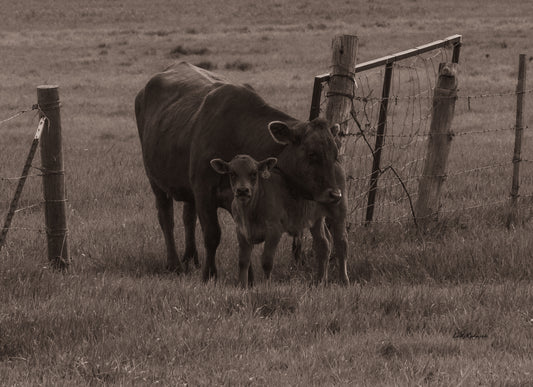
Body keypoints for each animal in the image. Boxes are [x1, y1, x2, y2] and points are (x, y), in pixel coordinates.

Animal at [210, 153, 348, 286]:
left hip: (339, 211)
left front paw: (267, 286)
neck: (250, 213)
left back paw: (343, 281)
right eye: (232, 173)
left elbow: (267, 261)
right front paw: (242, 286)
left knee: (341, 243)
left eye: (254, 173)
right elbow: (243, 262)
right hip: (316, 218)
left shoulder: (274, 230)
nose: (243, 190)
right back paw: (320, 281)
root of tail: (335, 163)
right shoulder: (242, 231)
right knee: (324, 244)